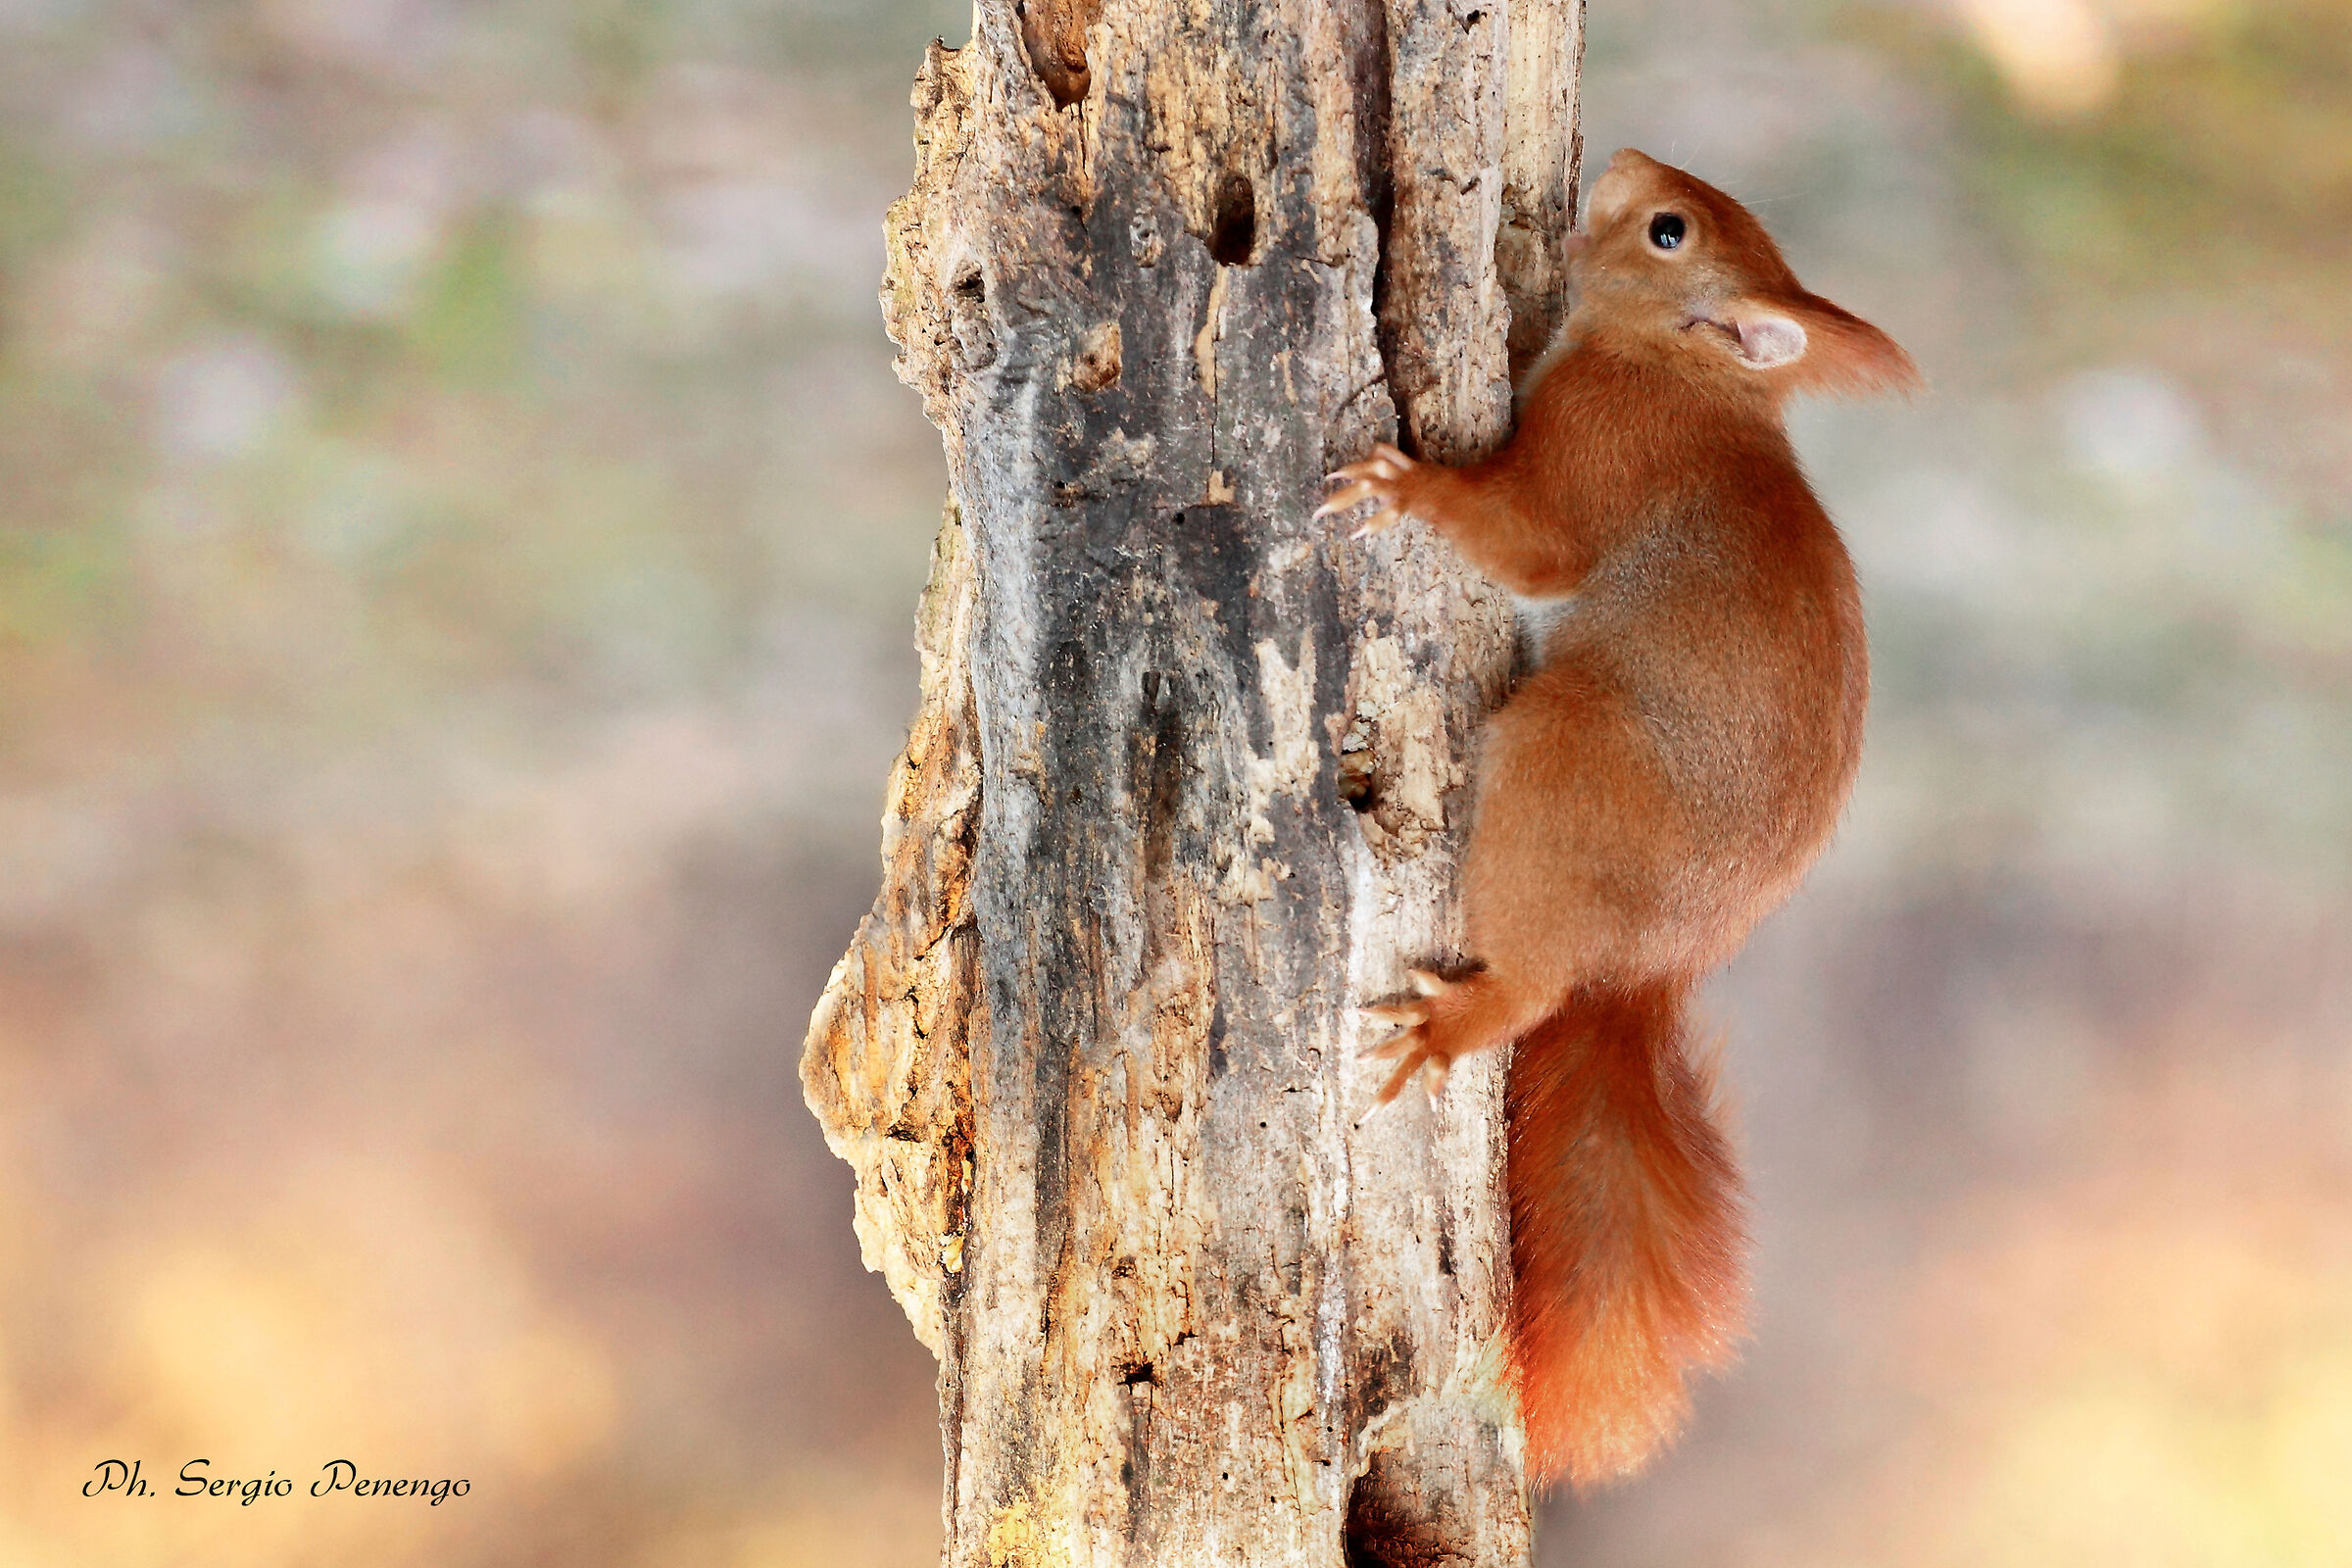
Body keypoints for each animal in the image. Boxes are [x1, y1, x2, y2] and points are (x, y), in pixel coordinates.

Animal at [1319, 149, 1918, 1489]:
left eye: (1667, 230)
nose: (1630, 161)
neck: (1688, 374)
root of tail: (1646, 965)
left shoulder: (1601, 451)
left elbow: (1528, 547)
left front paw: (1405, 482)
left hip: (1561, 756)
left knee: (1527, 981)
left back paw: (1460, 1019)